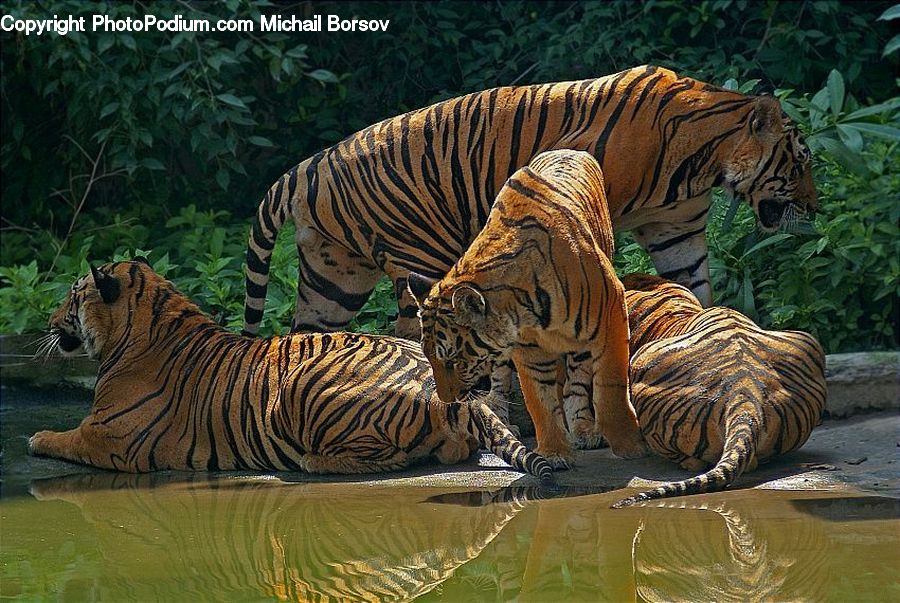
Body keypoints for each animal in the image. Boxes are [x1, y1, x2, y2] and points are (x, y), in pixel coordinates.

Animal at [27, 257, 553, 484]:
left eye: (72, 296)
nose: (48, 322)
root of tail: (448, 392)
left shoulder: (105, 436)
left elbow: (59, 438)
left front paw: (35, 438)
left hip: (295, 391)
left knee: (393, 459)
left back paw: (311, 461)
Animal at [242, 64, 816, 343]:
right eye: (801, 162)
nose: (814, 208)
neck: (703, 161)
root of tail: (308, 165)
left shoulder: (678, 230)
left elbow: (696, 287)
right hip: (418, 254)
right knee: (410, 326)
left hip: (333, 278)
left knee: (302, 336)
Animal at [406, 150, 647, 468]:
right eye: (430, 358)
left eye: (454, 361)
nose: (447, 401)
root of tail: (568, 150)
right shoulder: (528, 349)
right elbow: (539, 399)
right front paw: (555, 453)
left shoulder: (611, 315)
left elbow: (610, 388)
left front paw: (629, 446)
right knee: (502, 381)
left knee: (578, 378)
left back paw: (584, 429)